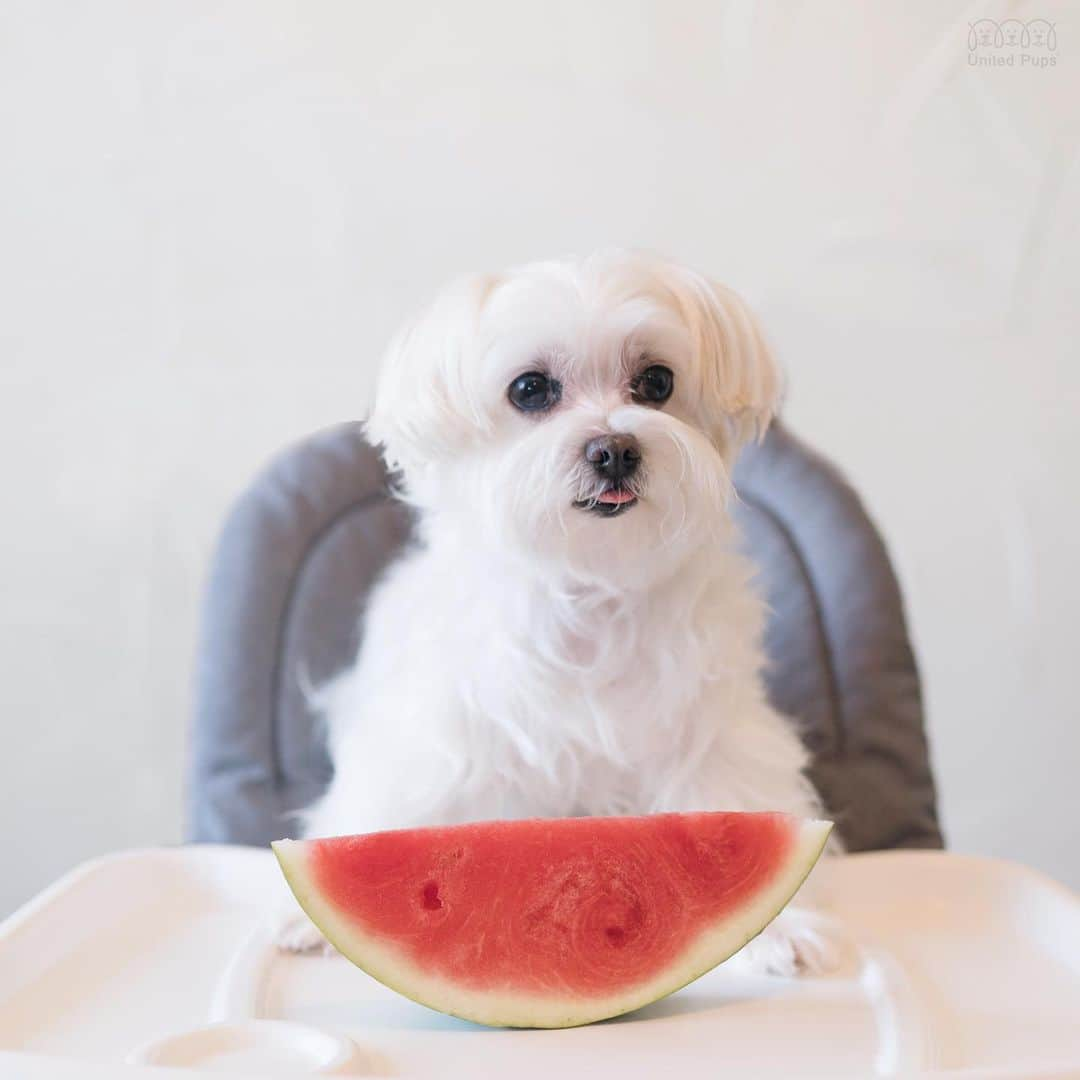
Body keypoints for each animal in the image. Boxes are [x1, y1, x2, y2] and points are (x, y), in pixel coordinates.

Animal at [287, 250, 833, 972]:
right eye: (530, 390)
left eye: (656, 381)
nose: (615, 448)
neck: (590, 588)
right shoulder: (448, 732)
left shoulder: (711, 727)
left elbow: (730, 807)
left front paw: (779, 924)